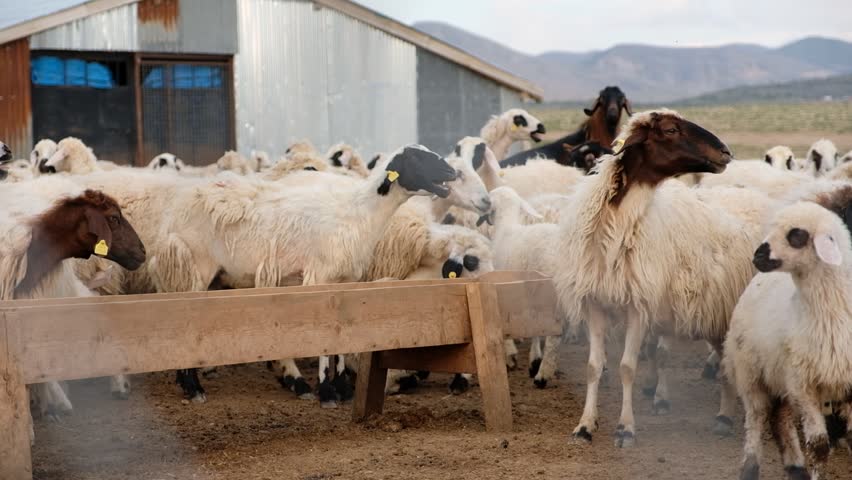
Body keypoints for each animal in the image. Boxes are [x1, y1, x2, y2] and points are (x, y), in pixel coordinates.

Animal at [552, 109, 776, 447]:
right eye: (670, 130)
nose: (726, 152)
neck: (621, 219)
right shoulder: (595, 303)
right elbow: (593, 367)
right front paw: (585, 426)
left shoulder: (638, 305)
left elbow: (627, 367)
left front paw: (626, 429)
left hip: (726, 310)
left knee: (727, 363)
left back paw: (724, 417)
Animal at [724, 198, 852, 480]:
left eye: (797, 235)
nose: (758, 256)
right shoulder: (803, 385)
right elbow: (819, 446)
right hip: (752, 374)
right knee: (757, 418)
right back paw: (750, 467)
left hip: (779, 377)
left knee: (779, 419)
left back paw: (795, 467)